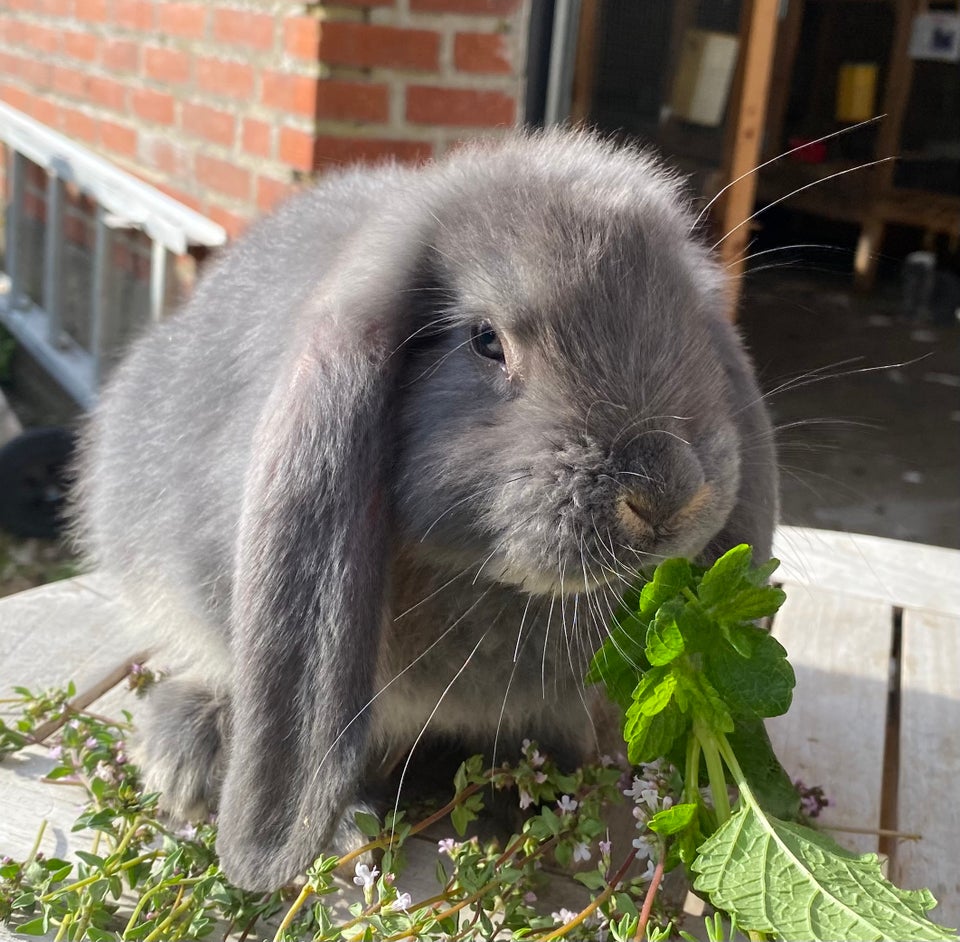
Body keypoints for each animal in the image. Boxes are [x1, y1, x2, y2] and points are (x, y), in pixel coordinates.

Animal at [75, 131, 780, 892]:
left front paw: (529, 786)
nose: (665, 491)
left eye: (691, 321)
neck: (486, 588)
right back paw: (189, 751)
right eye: (484, 340)